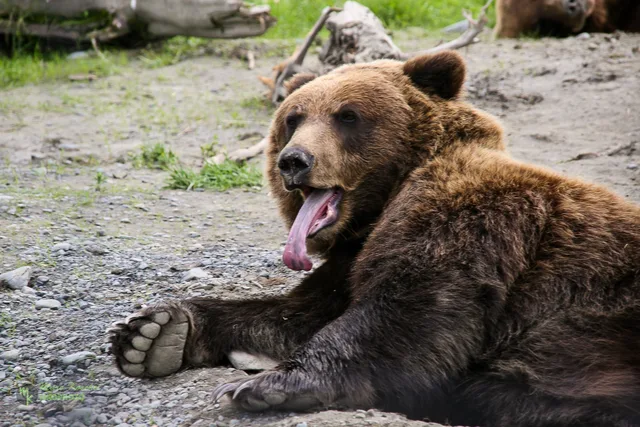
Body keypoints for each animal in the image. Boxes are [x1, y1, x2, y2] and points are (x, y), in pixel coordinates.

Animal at [108, 51, 640, 426]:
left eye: (347, 115)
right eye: (294, 117)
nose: (293, 160)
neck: (380, 204)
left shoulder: (474, 218)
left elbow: (407, 312)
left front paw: (265, 384)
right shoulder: (348, 260)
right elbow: (293, 312)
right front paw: (152, 332)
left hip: (595, 342)